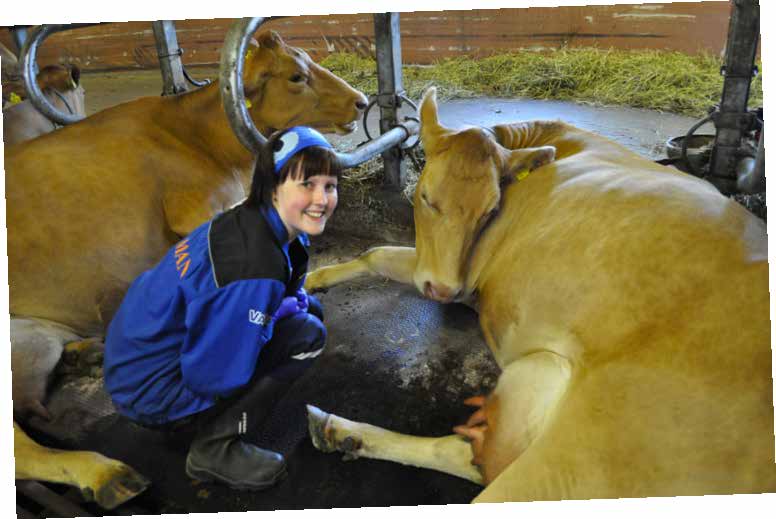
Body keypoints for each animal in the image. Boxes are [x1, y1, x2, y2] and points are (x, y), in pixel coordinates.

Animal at [4, 30, 366, 510]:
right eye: (295, 76)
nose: (363, 102)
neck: (202, 139)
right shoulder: (200, 215)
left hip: (35, 337)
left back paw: (90, 354)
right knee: (20, 447)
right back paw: (103, 472)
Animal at [304, 88, 776, 504]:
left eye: (490, 211)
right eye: (427, 199)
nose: (443, 288)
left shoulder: (461, 274)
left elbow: (378, 253)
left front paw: (312, 277)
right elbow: (375, 254)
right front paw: (313, 280)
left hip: (574, 462)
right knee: (468, 453)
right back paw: (340, 432)